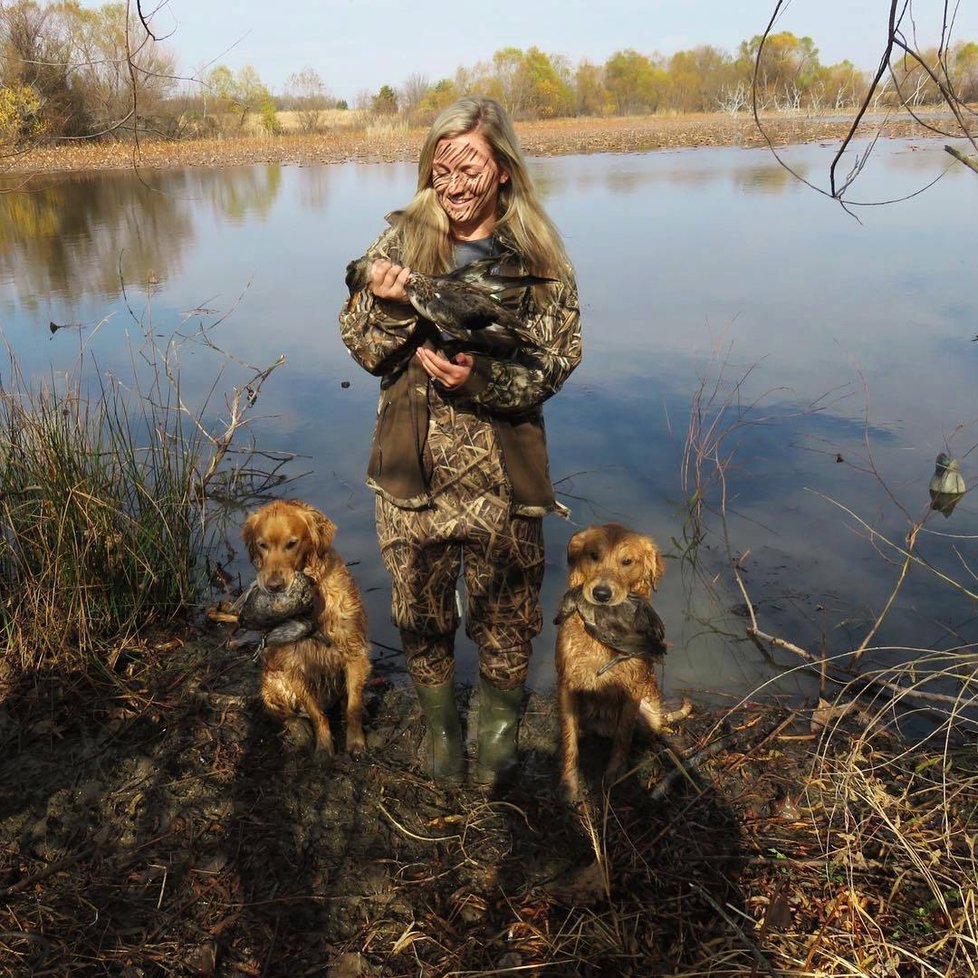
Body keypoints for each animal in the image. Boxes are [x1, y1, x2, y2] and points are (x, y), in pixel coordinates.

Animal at [241, 500, 370, 760]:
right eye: (262, 545)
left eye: (292, 543)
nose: (274, 586)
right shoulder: (294, 667)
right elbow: (315, 713)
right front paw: (324, 746)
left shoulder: (354, 653)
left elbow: (353, 705)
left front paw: (355, 741)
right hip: (271, 683)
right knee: (287, 716)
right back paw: (298, 727)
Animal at [552, 524, 676, 796]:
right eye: (593, 555)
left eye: (627, 561)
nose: (601, 594)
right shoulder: (567, 684)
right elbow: (569, 740)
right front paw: (568, 783)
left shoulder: (632, 689)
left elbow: (623, 737)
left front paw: (614, 776)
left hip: (650, 711)